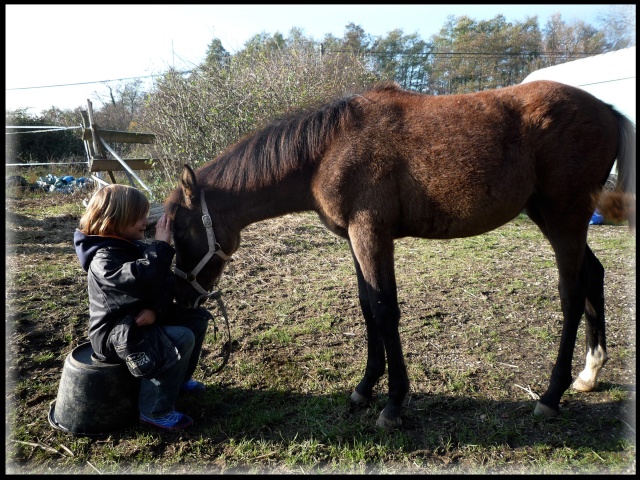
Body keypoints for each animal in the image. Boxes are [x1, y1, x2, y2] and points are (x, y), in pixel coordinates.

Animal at [165, 80, 636, 430]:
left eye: (179, 231)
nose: (181, 301)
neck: (327, 150)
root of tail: (606, 109)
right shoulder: (355, 239)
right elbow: (367, 306)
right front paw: (364, 388)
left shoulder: (371, 234)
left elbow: (385, 310)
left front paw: (392, 404)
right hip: (553, 218)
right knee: (593, 276)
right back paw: (590, 373)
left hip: (563, 218)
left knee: (571, 295)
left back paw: (551, 396)